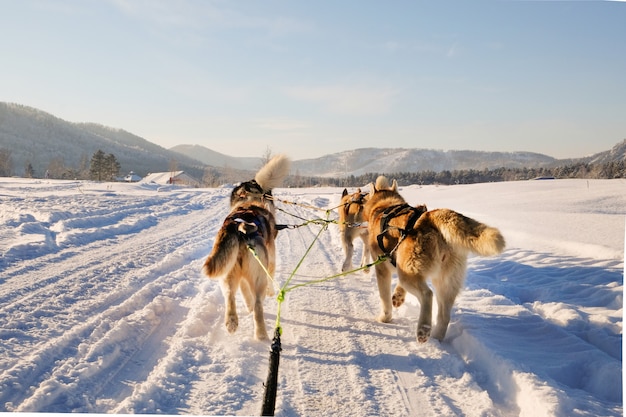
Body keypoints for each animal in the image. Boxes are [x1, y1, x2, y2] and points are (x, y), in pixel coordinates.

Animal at [202, 154, 290, 340]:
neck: (250, 201)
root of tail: (241, 228)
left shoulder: (241, 277)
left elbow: (244, 293)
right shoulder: (270, 261)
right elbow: (270, 281)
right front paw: (271, 292)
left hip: (228, 273)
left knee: (231, 296)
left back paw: (232, 322)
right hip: (259, 276)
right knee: (258, 304)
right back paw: (261, 334)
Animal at [360, 174, 502, 342]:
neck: (384, 206)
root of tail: (431, 217)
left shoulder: (383, 269)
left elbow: (385, 299)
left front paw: (385, 318)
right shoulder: (401, 265)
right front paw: (398, 296)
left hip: (410, 277)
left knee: (428, 295)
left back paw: (423, 329)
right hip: (445, 282)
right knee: (444, 315)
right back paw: (436, 337)